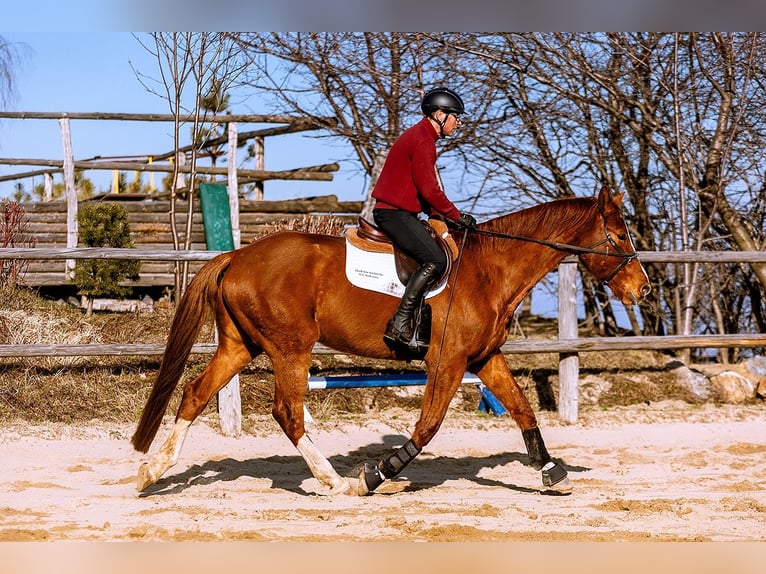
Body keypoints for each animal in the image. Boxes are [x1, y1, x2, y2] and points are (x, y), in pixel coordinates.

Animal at [131, 185, 651, 496]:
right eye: (620, 236)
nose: (643, 289)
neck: (490, 269)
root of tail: (236, 256)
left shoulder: (484, 357)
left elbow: (522, 409)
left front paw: (551, 473)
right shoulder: (450, 361)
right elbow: (428, 426)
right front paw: (376, 474)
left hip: (241, 345)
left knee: (196, 393)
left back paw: (152, 472)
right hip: (290, 348)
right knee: (288, 411)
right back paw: (335, 481)